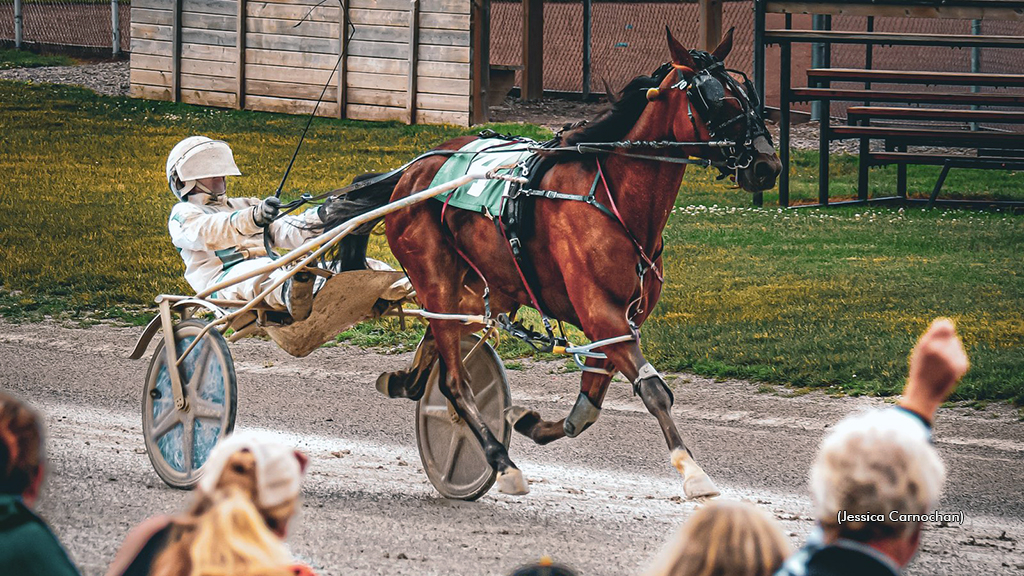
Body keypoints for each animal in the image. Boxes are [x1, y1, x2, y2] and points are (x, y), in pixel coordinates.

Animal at [323, 26, 778, 496]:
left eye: (751, 97)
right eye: (719, 101)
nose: (768, 165)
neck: (616, 200)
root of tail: (411, 173)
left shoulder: (617, 325)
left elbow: (587, 410)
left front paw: (527, 420)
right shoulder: (602, 315)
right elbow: (653, 390)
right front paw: (692, 471)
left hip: (484, 289)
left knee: (436, 352)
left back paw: (406, 381)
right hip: (436, 278)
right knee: (454, 381)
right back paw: (501, 462)